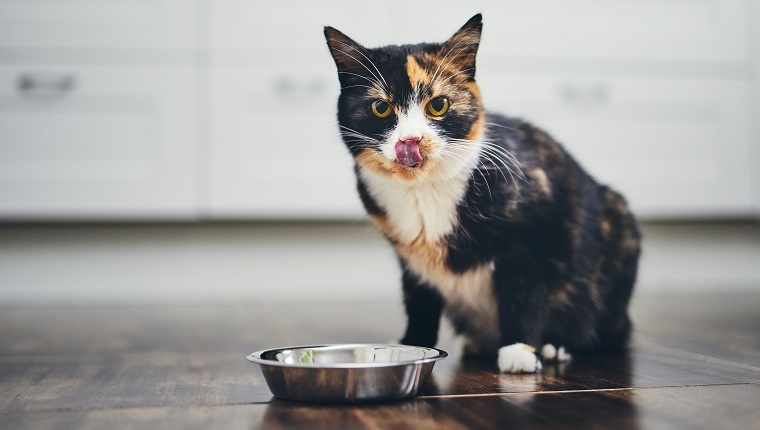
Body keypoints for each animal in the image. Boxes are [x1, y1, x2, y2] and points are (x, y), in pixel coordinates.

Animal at [324, 14, 640, 372]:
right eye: (380, 108)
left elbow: (524, 290)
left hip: (617, 227)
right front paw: (412, 344)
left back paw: (555, 346)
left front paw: (520, 349)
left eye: (438, 105)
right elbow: (418, 300)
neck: (424, 191)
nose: (411, 140)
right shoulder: (411, 259)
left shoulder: (536, 232)